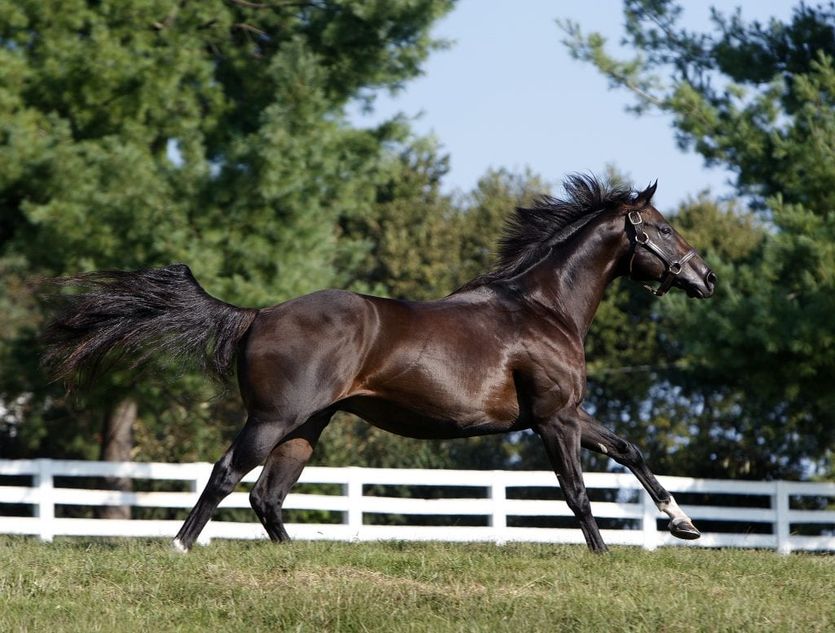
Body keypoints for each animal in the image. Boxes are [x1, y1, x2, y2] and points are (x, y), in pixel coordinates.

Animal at [43, 174, 716, 553]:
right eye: (660, 227)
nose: (706, 278)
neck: (542, 307)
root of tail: (257, 315)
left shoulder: (571, 413)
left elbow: (629, 450)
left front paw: (684, 525)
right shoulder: (554, 419)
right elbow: (575, 490)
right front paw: (603, 554)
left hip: (306, 428)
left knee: (266, 495)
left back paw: (294, 558)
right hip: (271, 421)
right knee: (227, 475)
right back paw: (179, 548)